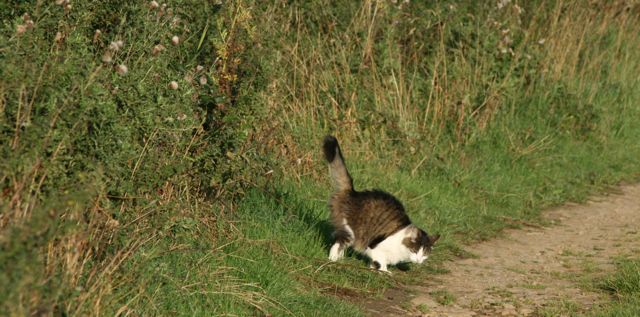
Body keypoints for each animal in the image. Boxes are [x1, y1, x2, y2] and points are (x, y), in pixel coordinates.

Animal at [322, 135, 438, 272]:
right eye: (415, 251)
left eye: (425, 253)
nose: (419, 260)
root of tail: (353, 192)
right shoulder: (374, 248)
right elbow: (381, 261)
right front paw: (384, 271)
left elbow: (376, 262)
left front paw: (373, 268)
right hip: (351, 232)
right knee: (337, 243)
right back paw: (334, 259)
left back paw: (341, 259)